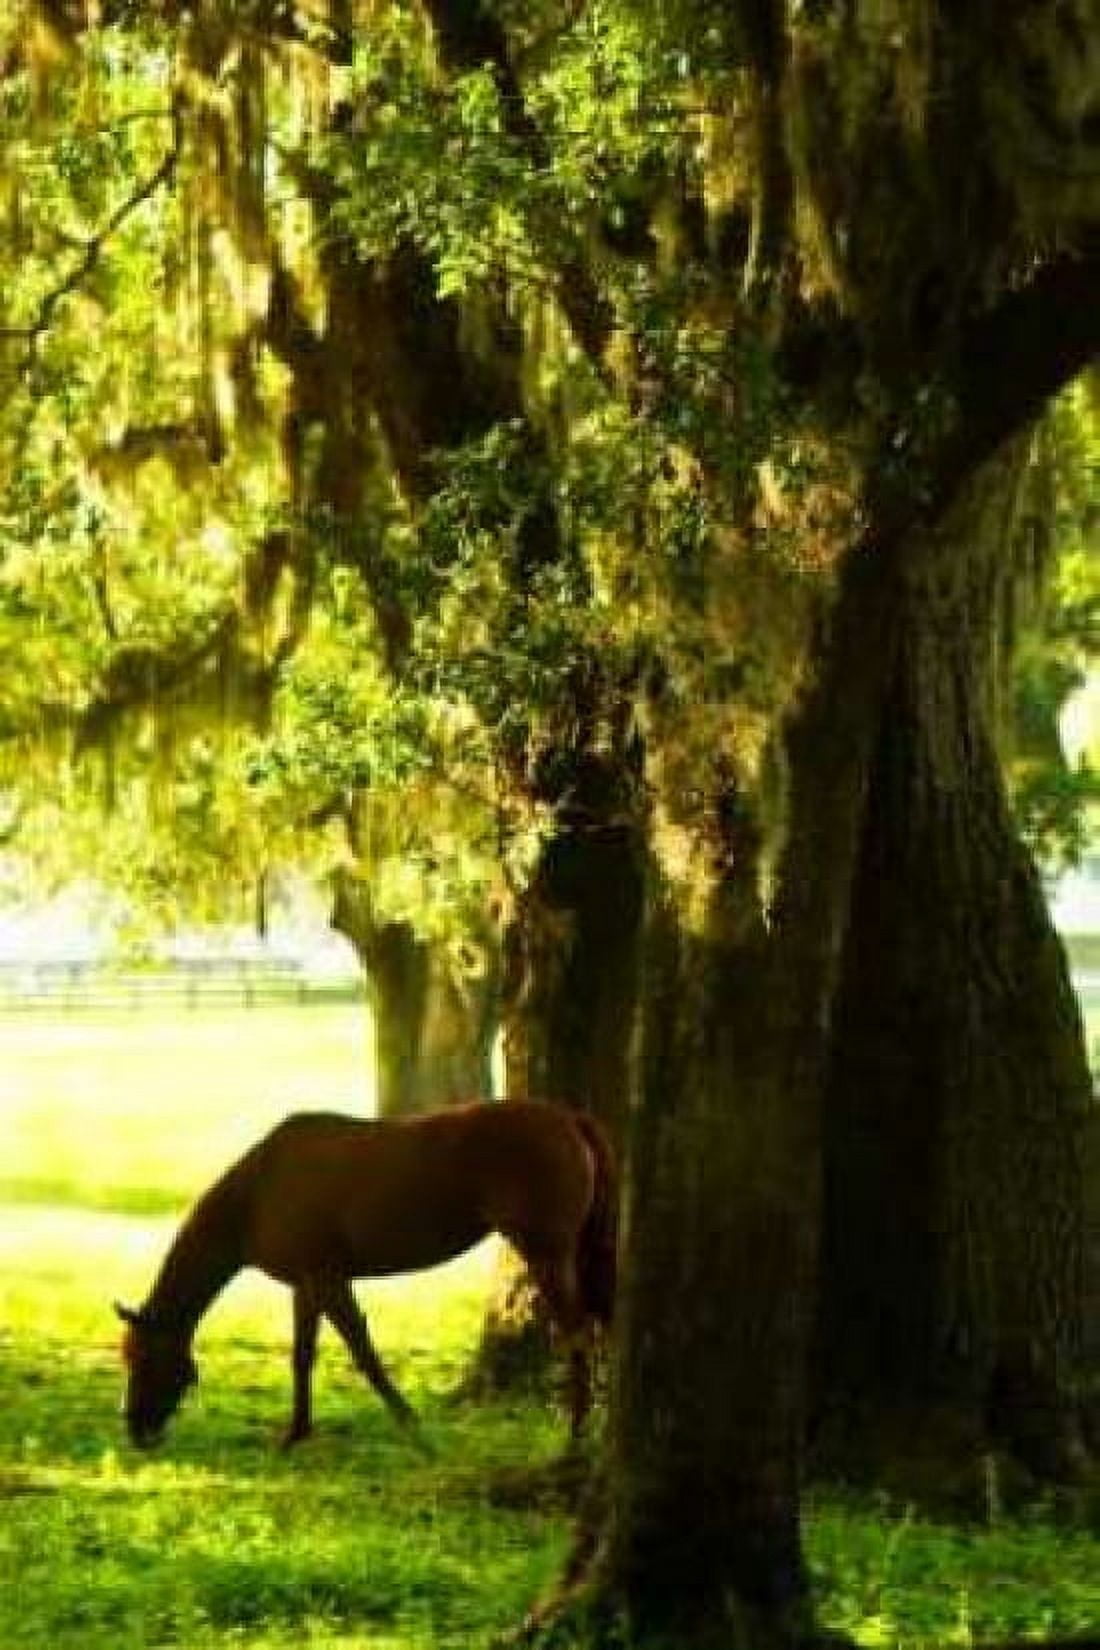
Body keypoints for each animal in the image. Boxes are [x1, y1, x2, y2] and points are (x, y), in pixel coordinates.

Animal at [115, 1099, 616, 1449]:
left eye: (143, 1359)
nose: (135, 1430)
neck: (258, 1194)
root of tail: (568, 1118)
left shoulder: (328, 1279)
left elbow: (363, 1352)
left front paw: (412, 1425)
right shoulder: (305, 1285)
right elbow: (302, 1356)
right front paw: (296, 1432)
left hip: (547, 1254)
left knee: (579, 1336)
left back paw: (576, 1437)